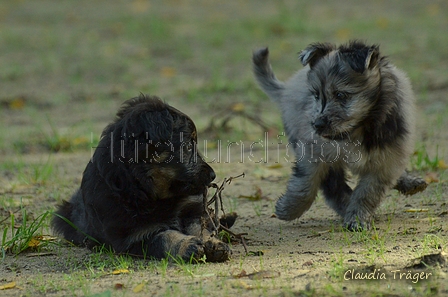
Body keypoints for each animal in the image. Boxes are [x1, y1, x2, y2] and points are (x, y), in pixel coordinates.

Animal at [52, 95, 233, 262]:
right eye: (188, 146)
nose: (213, 175)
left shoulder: (193, 212)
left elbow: (202, 229)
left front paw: (214, 243)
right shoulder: (136, 236)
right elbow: (165, 237)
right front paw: (188, 245)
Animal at [254, 40, 426, 229]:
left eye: (340, 94)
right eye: (316, 95)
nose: (317, 125)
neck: (356, 130)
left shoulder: (386, 160)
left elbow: (367, 193)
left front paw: (357, 217)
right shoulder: (314, 152)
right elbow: (305, 184)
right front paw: (289, 208)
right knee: (333, 187)